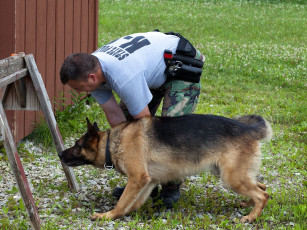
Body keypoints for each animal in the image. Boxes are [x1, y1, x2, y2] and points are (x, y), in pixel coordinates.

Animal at [59, 114, 274, 223]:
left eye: (77, 146)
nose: (60, 154)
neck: (113, 142)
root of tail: (248, 129)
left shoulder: (137, 178)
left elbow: (122, 202)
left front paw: (108, 215)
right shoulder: (147, 181)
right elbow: (133, 202)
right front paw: (126, 213)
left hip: (231, 178)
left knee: (263, 195)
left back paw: (250, 217)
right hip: (232, 175)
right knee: (262, 187)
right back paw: (249, 205)